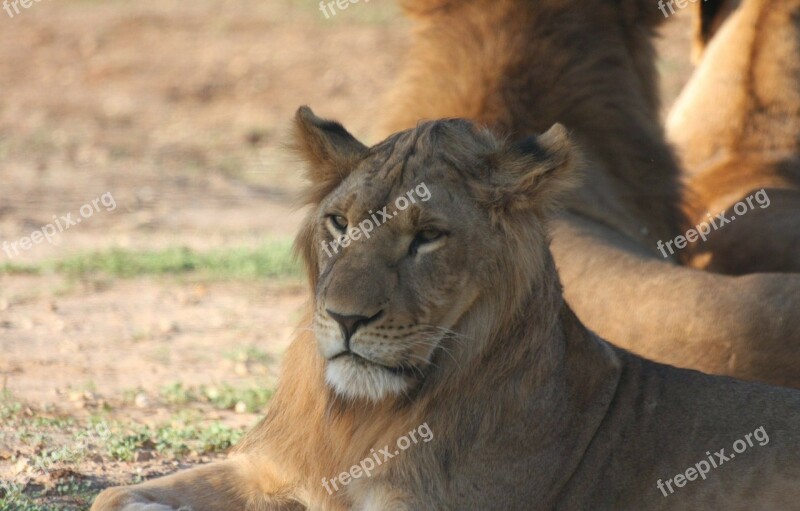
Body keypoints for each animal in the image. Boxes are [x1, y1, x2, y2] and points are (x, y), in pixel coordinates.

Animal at [90, 109, 800, 511]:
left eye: (427, 236)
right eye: (339, 223)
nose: (345, 319)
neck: (359, 416)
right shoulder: (272, 468)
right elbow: (110, 496)